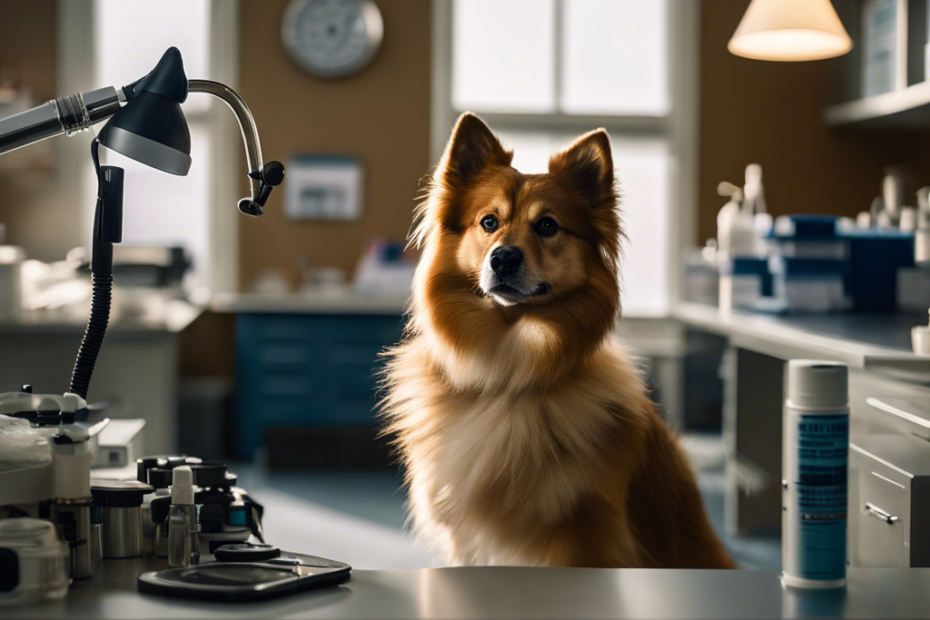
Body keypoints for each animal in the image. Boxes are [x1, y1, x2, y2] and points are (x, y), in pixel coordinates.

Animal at [380, 114, 736, 568]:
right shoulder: (465, 540)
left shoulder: (582, 538)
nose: (503, 258)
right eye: (489, 222)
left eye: (547, 225)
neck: (506, 370)